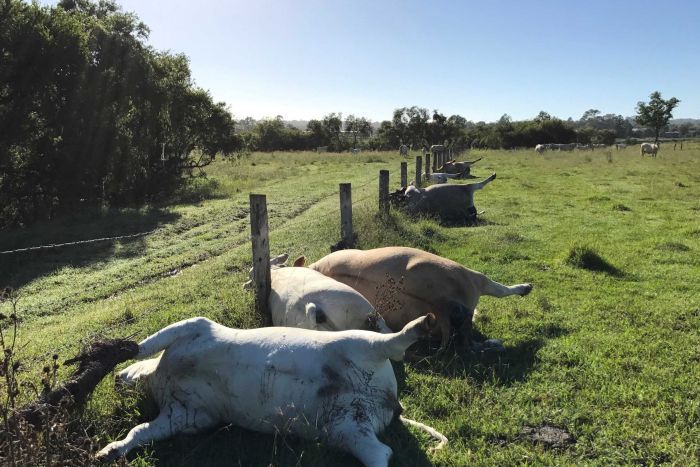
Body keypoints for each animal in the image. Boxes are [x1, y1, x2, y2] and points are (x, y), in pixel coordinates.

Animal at [97, 316, 448, 466]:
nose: (115, 380)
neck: (162, 376)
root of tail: (391, 400)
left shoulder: (195, 326)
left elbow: (144, 345)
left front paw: (112, 353)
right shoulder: (188, 416)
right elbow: (140, 431)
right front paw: (108, 452)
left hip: (360, 343)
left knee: (393, 343)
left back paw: (422, 324)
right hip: (348, 429)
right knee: (380, 453)